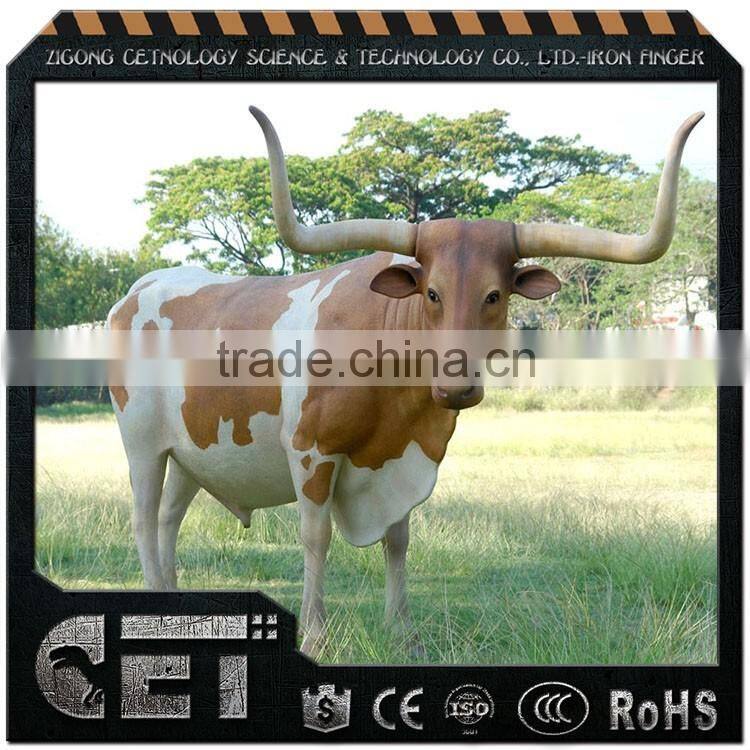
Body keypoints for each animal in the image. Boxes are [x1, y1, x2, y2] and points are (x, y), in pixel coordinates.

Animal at [108, 108, 702, 657]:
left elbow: (398, 539)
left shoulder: (403, 458)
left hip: (191, 451)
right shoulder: (311, 452)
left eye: (495, 294)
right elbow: (316, 537)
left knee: (169, 519)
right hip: (141, 445)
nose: (457, 387)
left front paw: (404, 633)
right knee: (142, 519)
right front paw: (317, 636)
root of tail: (141, 287)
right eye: (432, 293)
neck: (394, 400)